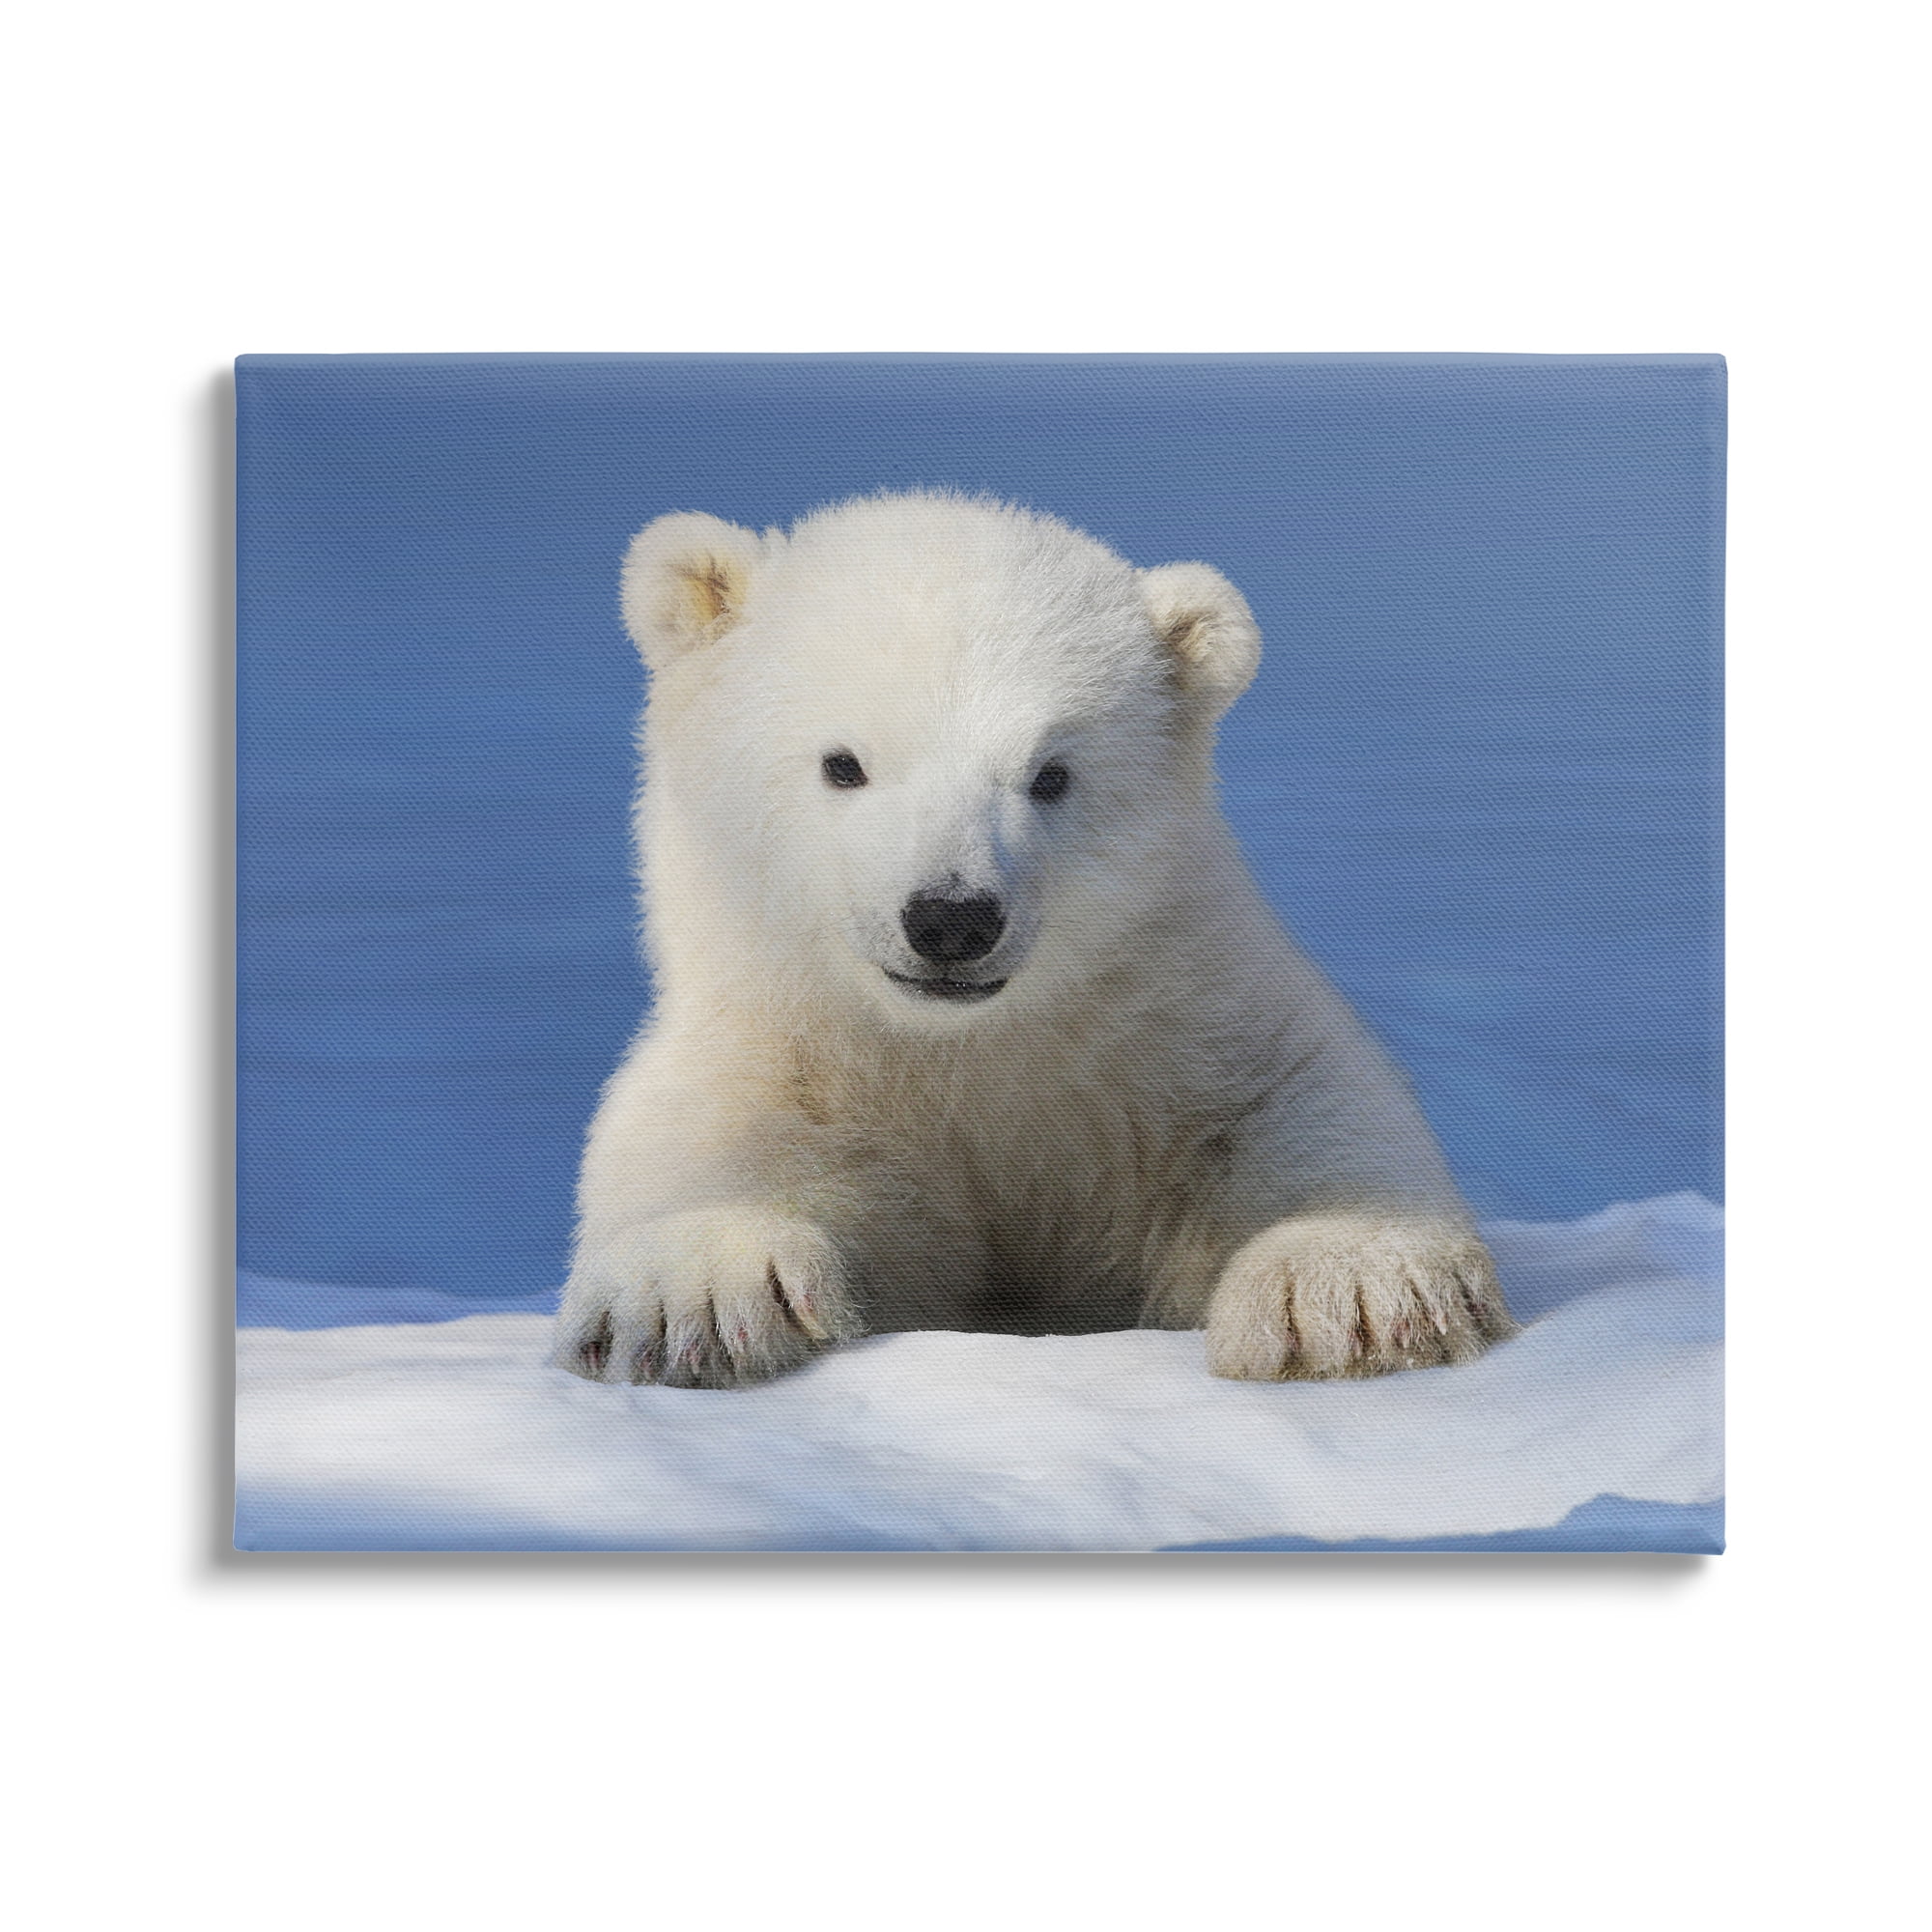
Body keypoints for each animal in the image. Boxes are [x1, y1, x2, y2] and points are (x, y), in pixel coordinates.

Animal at [556, 491, 1515, 1389]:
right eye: (843, 763)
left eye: (1050, 774)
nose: (952, 918)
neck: (967, 1052)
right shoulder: (789, 1049)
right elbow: (705, 1140)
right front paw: (694, 1302)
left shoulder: (1172, 1021)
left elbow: (1296, 1093)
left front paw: (1347, 1290)